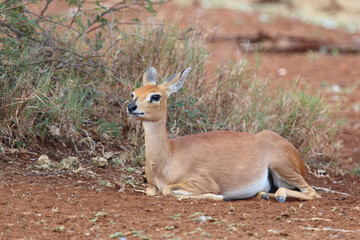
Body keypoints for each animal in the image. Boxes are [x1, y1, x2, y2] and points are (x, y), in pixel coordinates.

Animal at [126, 66, 320, 202]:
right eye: (134, 92)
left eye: (156, 96)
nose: (131, 107)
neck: (167, 158)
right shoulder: (152, 185)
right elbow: (152, 191)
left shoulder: (204, 182)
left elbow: (168, 190)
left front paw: (219, 197)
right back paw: (264, 194)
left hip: (282, 167)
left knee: (313, 193)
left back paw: (278, 196)